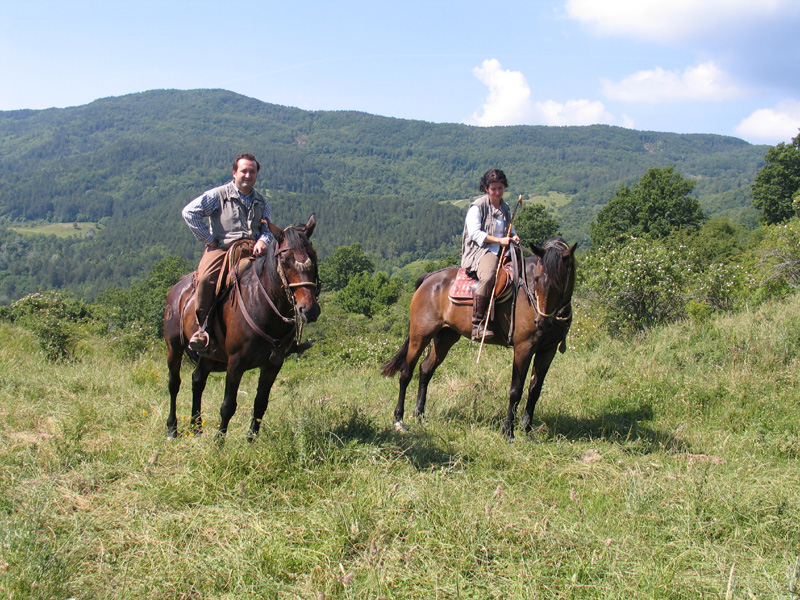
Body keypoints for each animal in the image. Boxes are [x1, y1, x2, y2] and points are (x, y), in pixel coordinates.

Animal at [163, 215, 320, 440]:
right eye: (285, 261)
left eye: (314, 257)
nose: (309, 310)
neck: (263, 305)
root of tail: (177, 288)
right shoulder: (235, 362)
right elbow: (228, 405)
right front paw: (219, 442)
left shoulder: (274, 364)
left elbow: (260, 402)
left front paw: (251, 440)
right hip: (174, 347)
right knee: (174, 384)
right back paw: (172, 429)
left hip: (207, 355)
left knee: (197, 381)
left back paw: (196, 427)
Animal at [381, 237, 577, 441]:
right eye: (537, 280)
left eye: (561, 282)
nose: (542, 323)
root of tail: (429, 278)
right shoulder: (523, 348)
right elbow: (516, 390)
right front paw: (508, 432)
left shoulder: (548, 350)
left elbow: (535, 390)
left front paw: (528, 430)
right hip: (420, 336)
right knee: (406, 373)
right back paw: (399, 419)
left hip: (445, 337)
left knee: (426, 369)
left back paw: (419, 415)